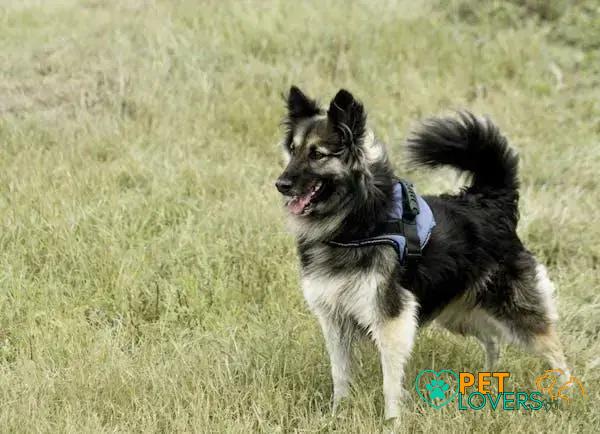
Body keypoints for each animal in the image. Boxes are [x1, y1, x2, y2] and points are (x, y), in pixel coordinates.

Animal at [274, 86, 568, 418]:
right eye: (293, 150)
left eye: (317, 154)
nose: (280, 184)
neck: (356, 222)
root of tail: (491, 201)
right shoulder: (333, 316)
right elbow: (340, 373)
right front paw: (338, 412)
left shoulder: (391, 318)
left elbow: (390, 380)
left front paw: (392, 420)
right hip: (458, 311)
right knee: (493, 340)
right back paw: (486, 383)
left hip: (511, 309)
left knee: (553, 348)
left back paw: (569, 395)